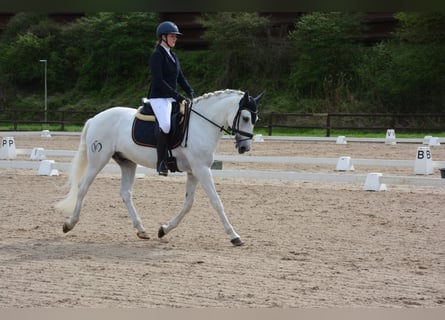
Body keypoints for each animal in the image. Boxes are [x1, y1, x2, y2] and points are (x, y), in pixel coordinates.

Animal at [55, 89, 264, 246]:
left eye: (256, 119)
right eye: (246, 118)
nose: (245, 148)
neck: (202, 124)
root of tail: (95, 118)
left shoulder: (194, 171)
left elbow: (188, 204)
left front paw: (164, 230)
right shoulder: (202, 169)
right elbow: (216, 202)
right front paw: (234, 236)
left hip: (127, 162)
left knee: (125, 193)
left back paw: (141, 230)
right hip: (98, 159)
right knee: (83, 187)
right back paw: (69, 224)